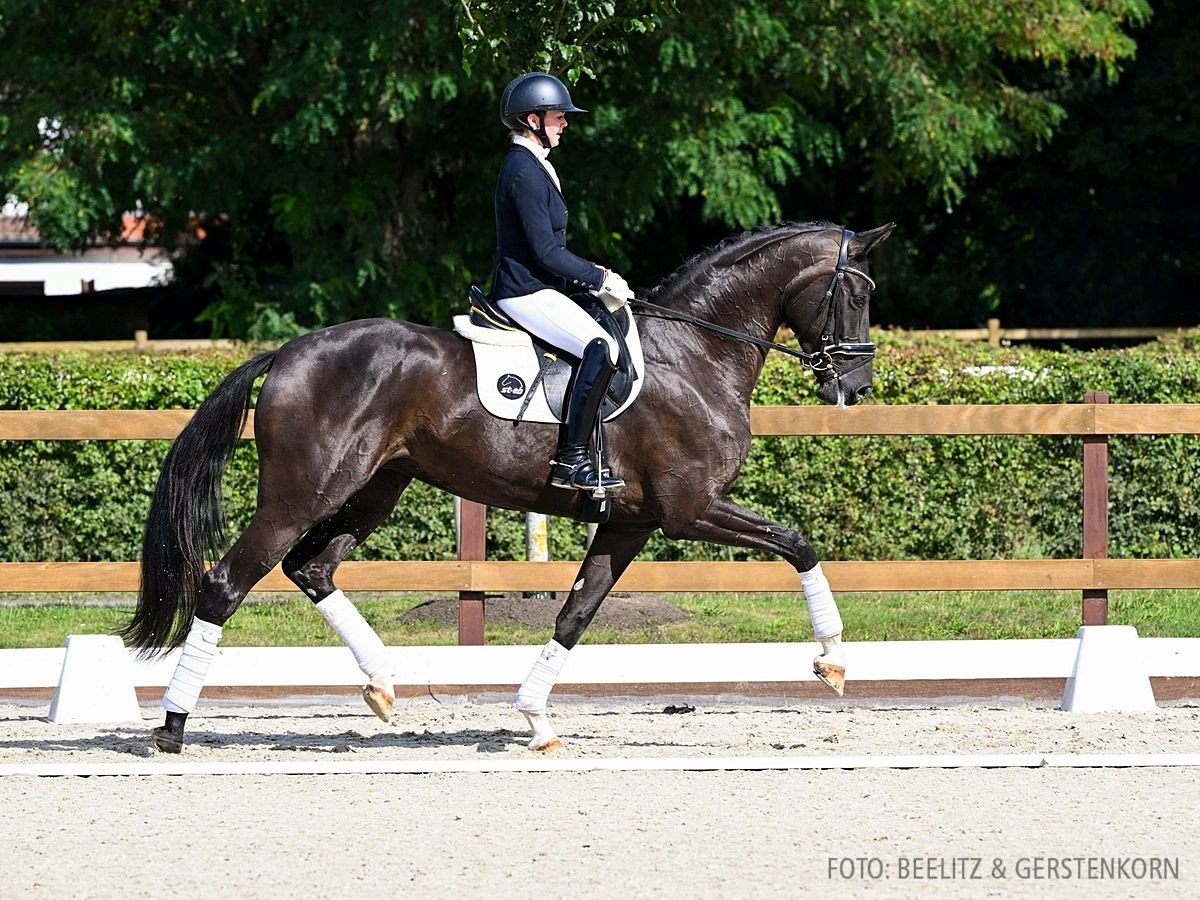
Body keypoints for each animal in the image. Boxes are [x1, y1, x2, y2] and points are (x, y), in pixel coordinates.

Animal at [121, 220, 892, 753]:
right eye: (854, 294)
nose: (855, 388)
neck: (696, 354)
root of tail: (286, 352)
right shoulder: (690, 509)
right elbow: (798, 542)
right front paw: (832, 661)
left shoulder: (630, 521)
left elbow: (575, 615)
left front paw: (536, 718)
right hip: (302, 492)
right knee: (227, 582)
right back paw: (172, 729)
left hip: (375, 488)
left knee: (311, 568)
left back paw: (382, 685)